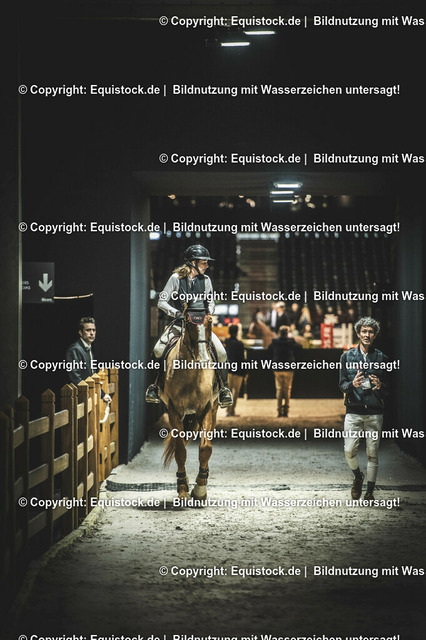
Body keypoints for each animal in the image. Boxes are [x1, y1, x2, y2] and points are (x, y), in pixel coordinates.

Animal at [160, 310, 219, 501]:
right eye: (188, 323)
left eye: (210, 322)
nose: (204, 359)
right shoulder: (174, 410)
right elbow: (180, 450)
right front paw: (182, 489)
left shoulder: (206, 408)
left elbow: (206, 448)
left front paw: (200, 489)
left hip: (213, 409)